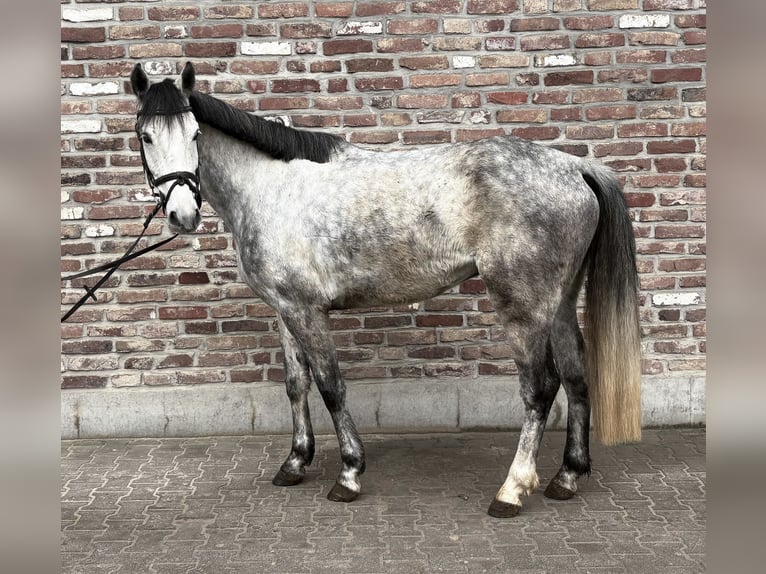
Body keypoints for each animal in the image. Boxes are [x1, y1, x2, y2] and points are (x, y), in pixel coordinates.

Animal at [129, 62, 641, 518]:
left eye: (195, 135)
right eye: (146, 136)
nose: (181, 215)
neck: (270, 187)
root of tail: (575, 167)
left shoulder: (307, 311)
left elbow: (331, 387)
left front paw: (349, 475)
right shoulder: (285, 309)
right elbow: (296, 385)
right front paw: (295, 463)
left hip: (523, 307)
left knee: (541, 387)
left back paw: (511, 491)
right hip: (560, 302)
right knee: (576, 377)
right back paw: (567, 477)